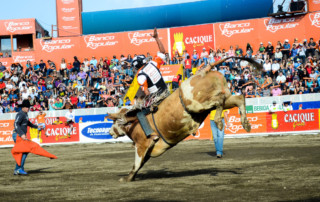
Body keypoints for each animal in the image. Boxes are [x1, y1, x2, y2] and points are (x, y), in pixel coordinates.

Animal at [107, 56, 262, 181]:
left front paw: (126, 178)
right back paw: (246, 124)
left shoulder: (142, 144)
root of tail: (203, 71)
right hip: (223, 98)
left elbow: (137, 163)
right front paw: (130, 177)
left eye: (114, 121)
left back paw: (219, 121)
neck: (133, 122)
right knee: (238, 99)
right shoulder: (149, 150)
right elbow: (140, 164)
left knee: (218, 101)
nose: (109, 132)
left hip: (197, 104)